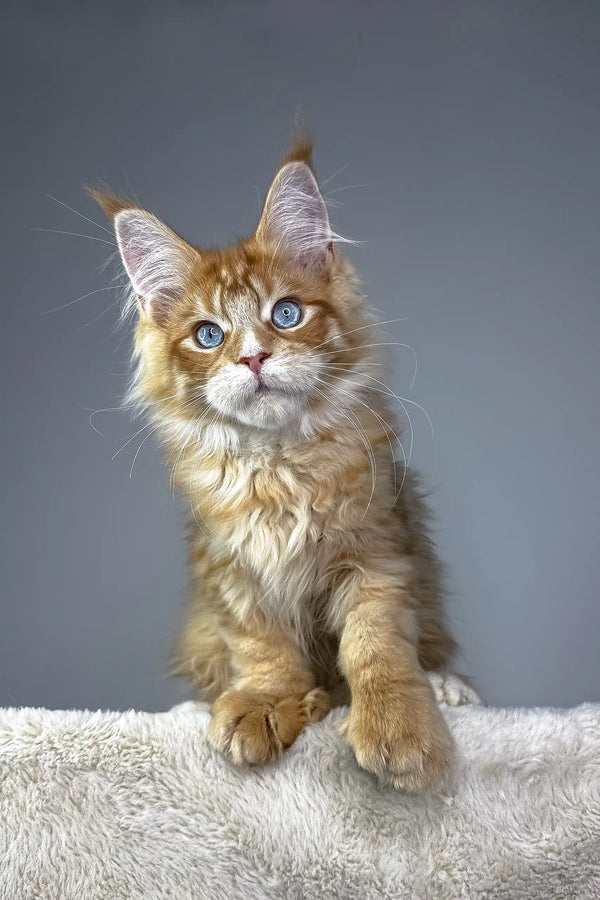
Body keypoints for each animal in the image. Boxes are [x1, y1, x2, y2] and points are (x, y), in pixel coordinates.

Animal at [92, 139, 460, 788]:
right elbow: (262, 647)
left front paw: (399, 726)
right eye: (208, 335)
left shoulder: (378, 553)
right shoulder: (232, 571)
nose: (254, 357)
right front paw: (267, 702)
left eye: (286, 314)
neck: (278, 466)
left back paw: (445, 690)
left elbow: (376, 645)